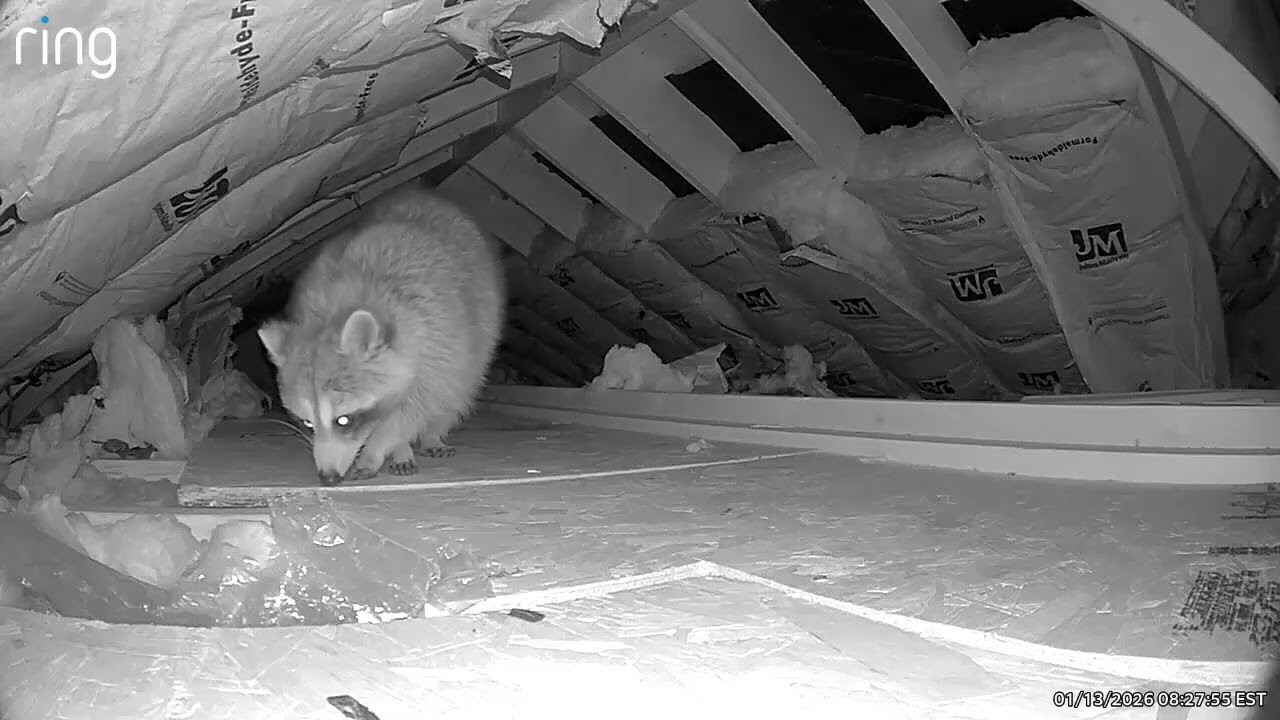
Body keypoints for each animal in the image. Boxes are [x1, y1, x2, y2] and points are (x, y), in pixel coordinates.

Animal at [257, 182, 506, 486]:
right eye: (307, 422)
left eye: (344, 420)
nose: (328, 478)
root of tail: (418, 193)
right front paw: (397, 448)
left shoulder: (439, 344)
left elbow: (413, 411)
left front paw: (379, 448)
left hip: (477, 329)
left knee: (460, 389)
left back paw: (433, 434)